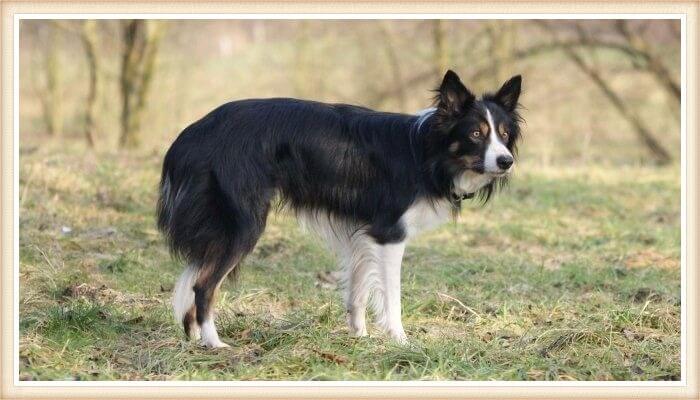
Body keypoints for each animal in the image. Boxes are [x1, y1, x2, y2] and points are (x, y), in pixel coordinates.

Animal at [157, 71, 520, 346]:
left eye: (504, 134)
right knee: (204, 285)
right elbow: (392, 296)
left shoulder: (362, 233)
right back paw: (214, 342)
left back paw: (194, 339)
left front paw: (360, 338)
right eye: (476, 133)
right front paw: (400, 340)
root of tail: (194, 132)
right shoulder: (390, 234)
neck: (427, 153)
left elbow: (357, 291)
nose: (507, 161)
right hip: (245, 224)